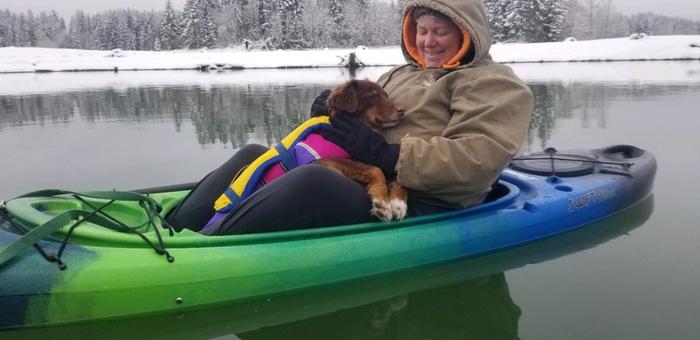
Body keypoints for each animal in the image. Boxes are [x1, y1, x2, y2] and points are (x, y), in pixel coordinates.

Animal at [314, 80, 408, 223]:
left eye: (386, 96)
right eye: (372, 96)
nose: (402, 110)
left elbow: (399, 175)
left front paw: (398, 202)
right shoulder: (326, 161)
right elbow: (376, 170)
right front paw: (382, 202)